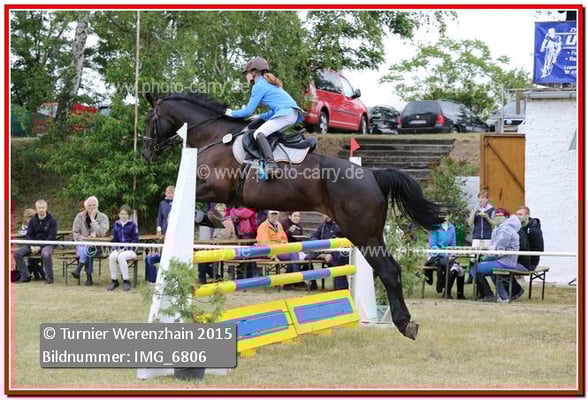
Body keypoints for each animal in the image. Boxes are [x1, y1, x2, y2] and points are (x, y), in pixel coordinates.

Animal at [142, 92, 444, 340]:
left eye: (148, 119)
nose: (146, 154)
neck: (214, 137)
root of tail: (372, 175)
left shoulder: (216, 187)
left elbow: (186, 198)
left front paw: (208, 218)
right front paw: (211, 218)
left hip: (362, 233)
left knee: (388, 270)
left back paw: (404, 324)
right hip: (369, 233)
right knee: (391, 268)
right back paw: (404, 322)